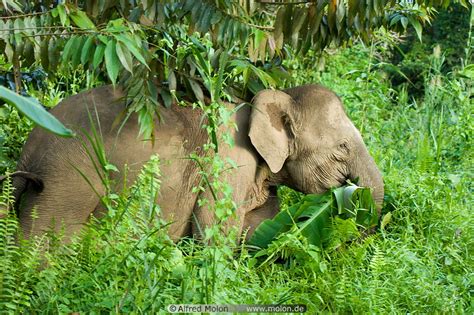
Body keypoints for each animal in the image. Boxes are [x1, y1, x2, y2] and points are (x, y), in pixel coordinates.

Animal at [0, 83, 386, 242]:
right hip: (69, 178)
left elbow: (257, 230)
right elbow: (215, 231)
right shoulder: (229, 165)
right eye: (341, 147)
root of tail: (31, 145)